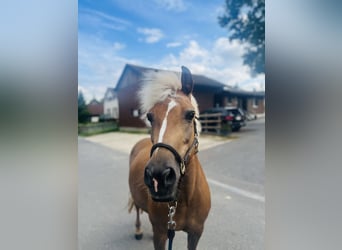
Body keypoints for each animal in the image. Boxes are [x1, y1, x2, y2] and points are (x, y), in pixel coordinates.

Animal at [129, 65, 211, 249]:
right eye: (150, 116)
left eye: (190, 114)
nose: (158, 176)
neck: (185, 199)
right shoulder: (161, 234)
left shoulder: (196, 233)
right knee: (137, 209)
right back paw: (137, 230)